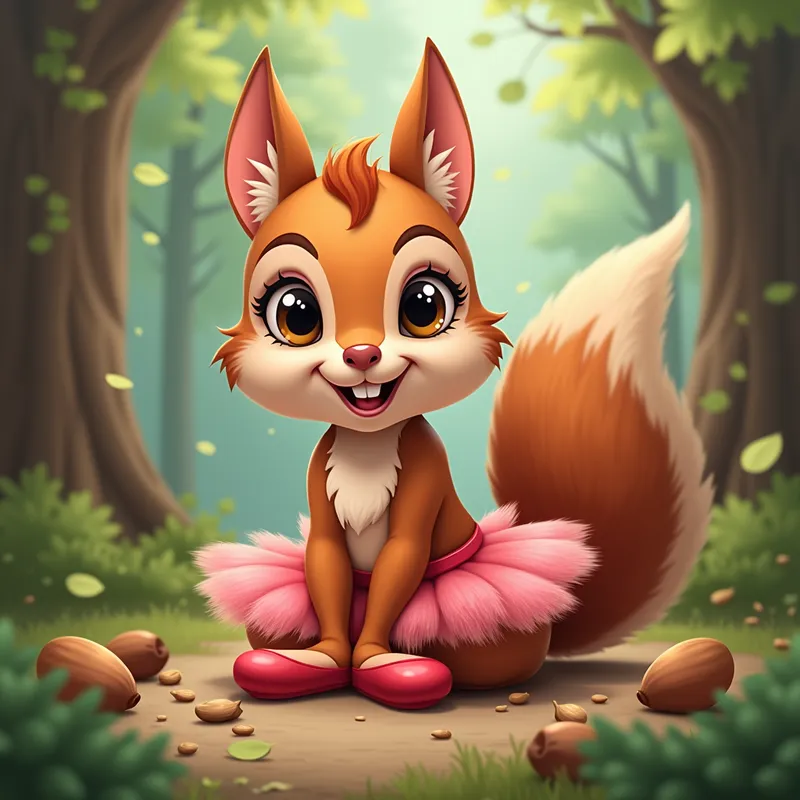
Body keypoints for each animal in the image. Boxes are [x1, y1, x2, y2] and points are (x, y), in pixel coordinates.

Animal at [194, 39, 714, 711]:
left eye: (425, 305)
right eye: (296, 313)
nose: (361, 355)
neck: (368, 440)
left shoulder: (423, 469)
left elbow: (402, 557)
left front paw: (382, 664)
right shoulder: (319, 484)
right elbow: (326, 561)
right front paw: (318, 663)